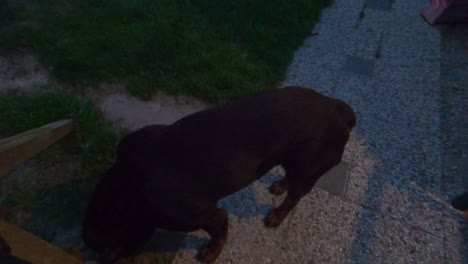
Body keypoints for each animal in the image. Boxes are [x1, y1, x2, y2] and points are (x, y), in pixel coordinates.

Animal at [82, 86, 356, 262]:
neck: (128, 188)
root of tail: (338, 108)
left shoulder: (205, 215)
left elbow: (219, 232)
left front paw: (210, 253)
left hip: (308, 167)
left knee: (294, 198)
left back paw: (276, 216)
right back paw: (279, 185)